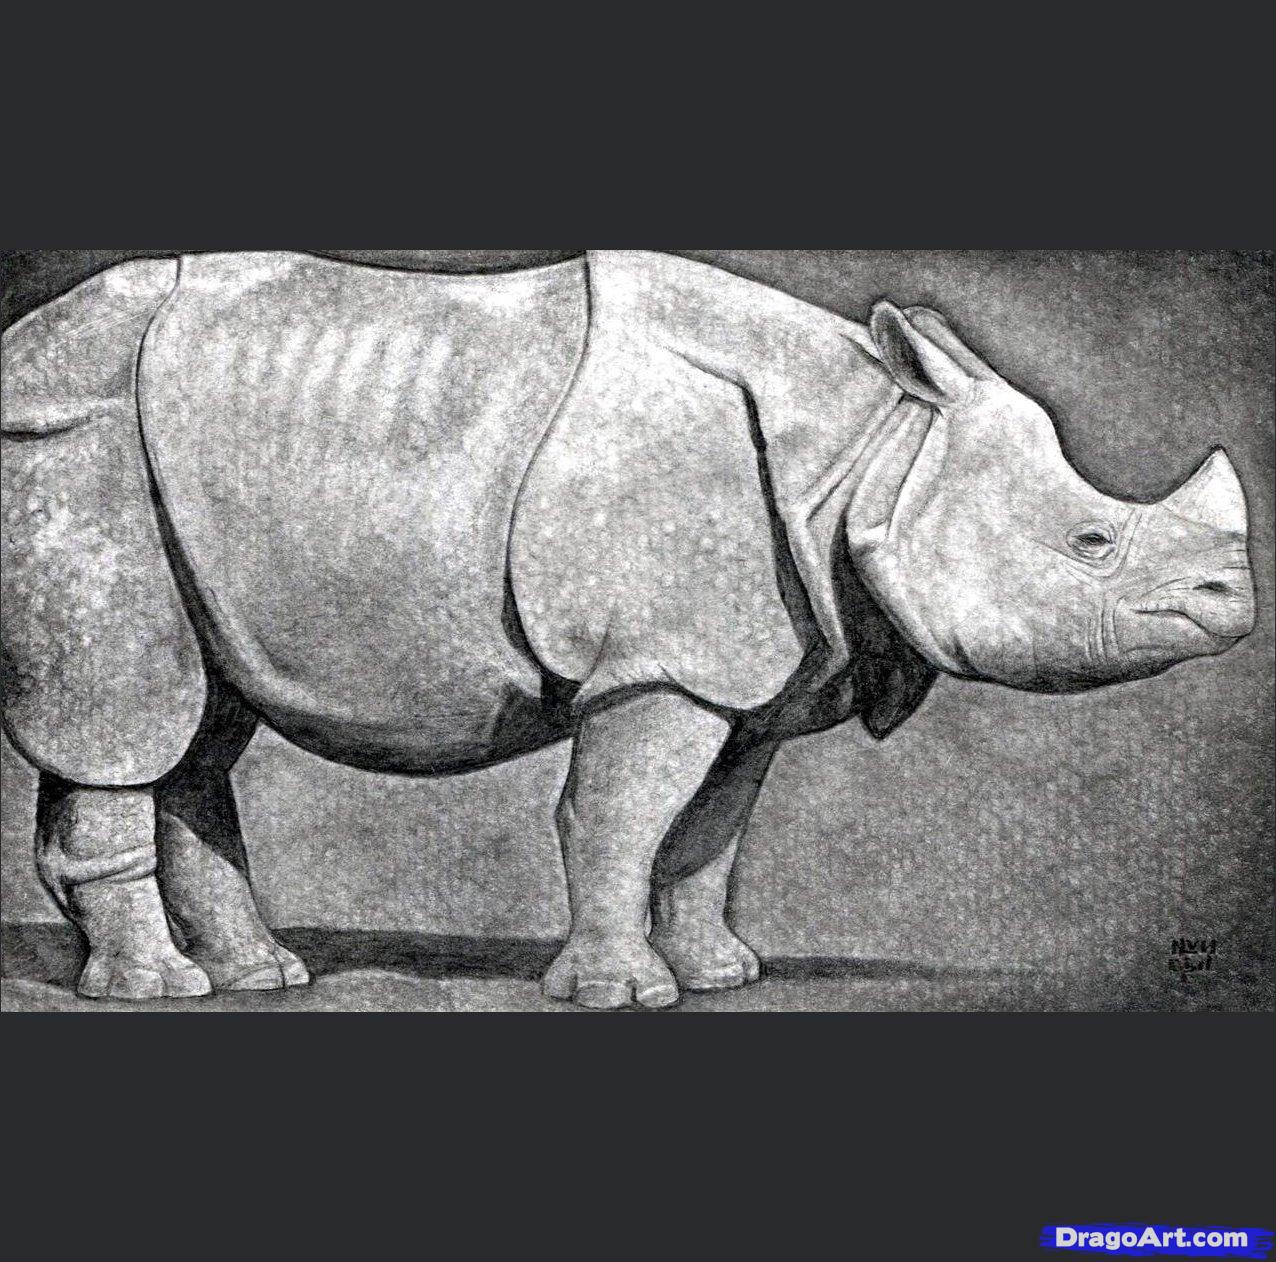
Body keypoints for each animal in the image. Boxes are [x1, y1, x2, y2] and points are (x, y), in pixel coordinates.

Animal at [0, 250, 1256, 1007]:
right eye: (1091, 541)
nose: (1233, 603)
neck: (871, 448)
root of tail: (23, 340)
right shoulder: (658, 660)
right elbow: (617, 815)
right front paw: (622, 992)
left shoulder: (752, 662)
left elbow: (709, 830)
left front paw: (721, 972)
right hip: (71, 436)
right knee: (129, 707)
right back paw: (166, 988)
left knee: (198, 720)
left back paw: (263, 974)